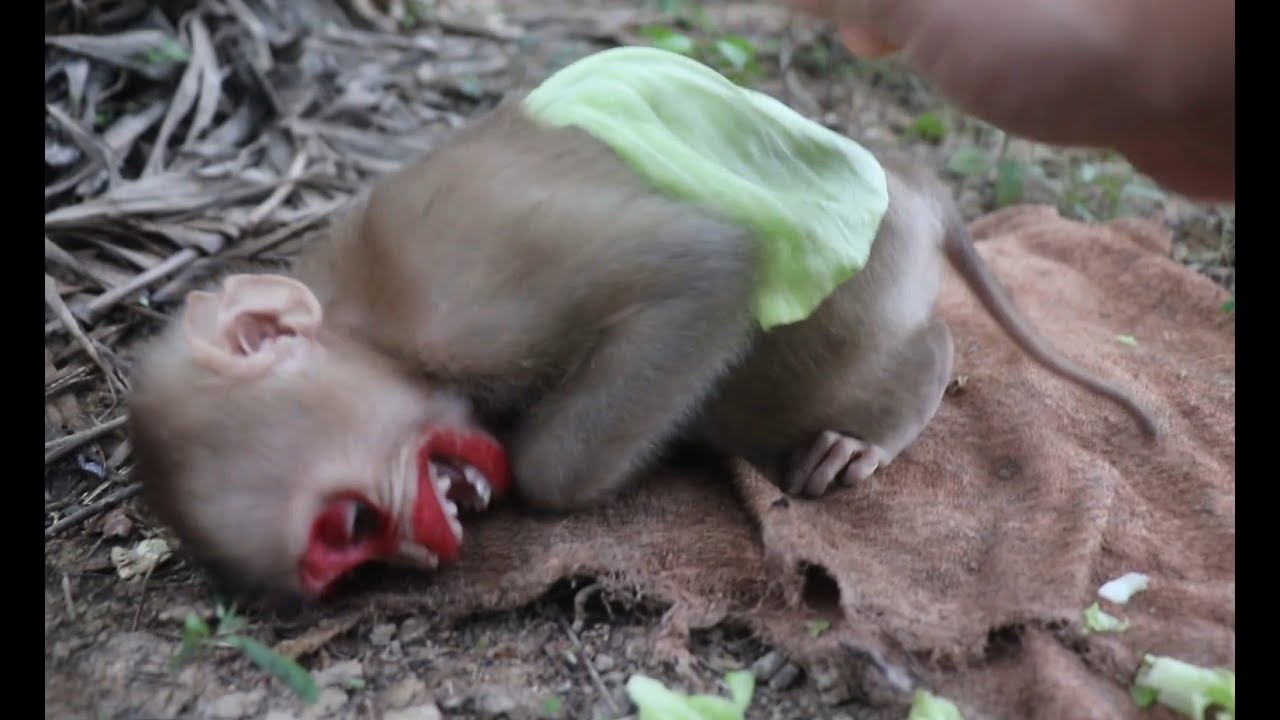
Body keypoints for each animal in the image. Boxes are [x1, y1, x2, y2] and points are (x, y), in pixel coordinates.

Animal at [126, 47, 1157, 601]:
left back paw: (904, 392)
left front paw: (540, 473)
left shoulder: (463, 281)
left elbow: (705, 268)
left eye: (346, 527)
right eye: (356, 552)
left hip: (870, 269)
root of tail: (906, 179)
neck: (361, 314)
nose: (426, 543)